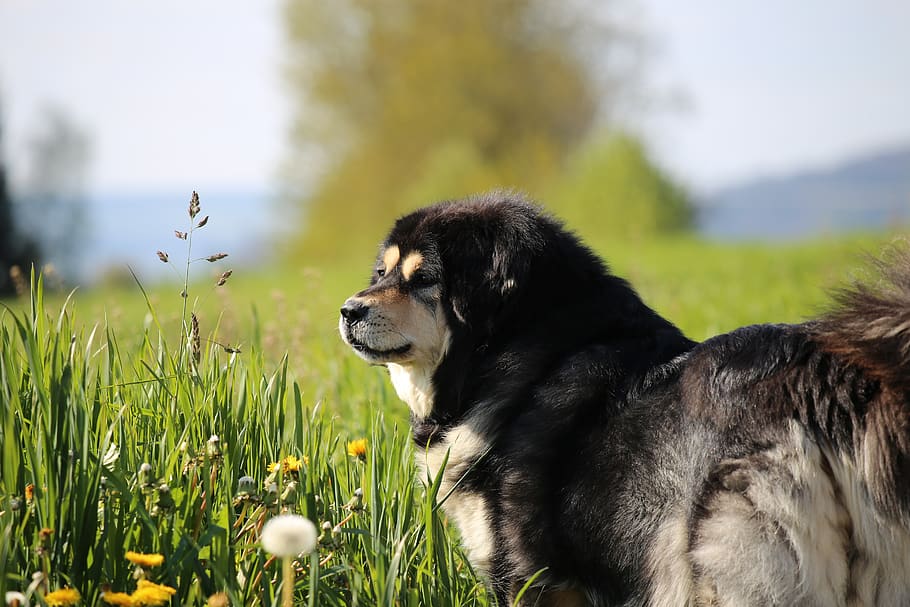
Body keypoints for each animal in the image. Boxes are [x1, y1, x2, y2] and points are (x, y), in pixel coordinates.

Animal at [338, 192, 910, 604]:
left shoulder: (526, 575)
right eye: (383, 273)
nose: (347, 310)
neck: (523, 352)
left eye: (423, 279)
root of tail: (826, 384)